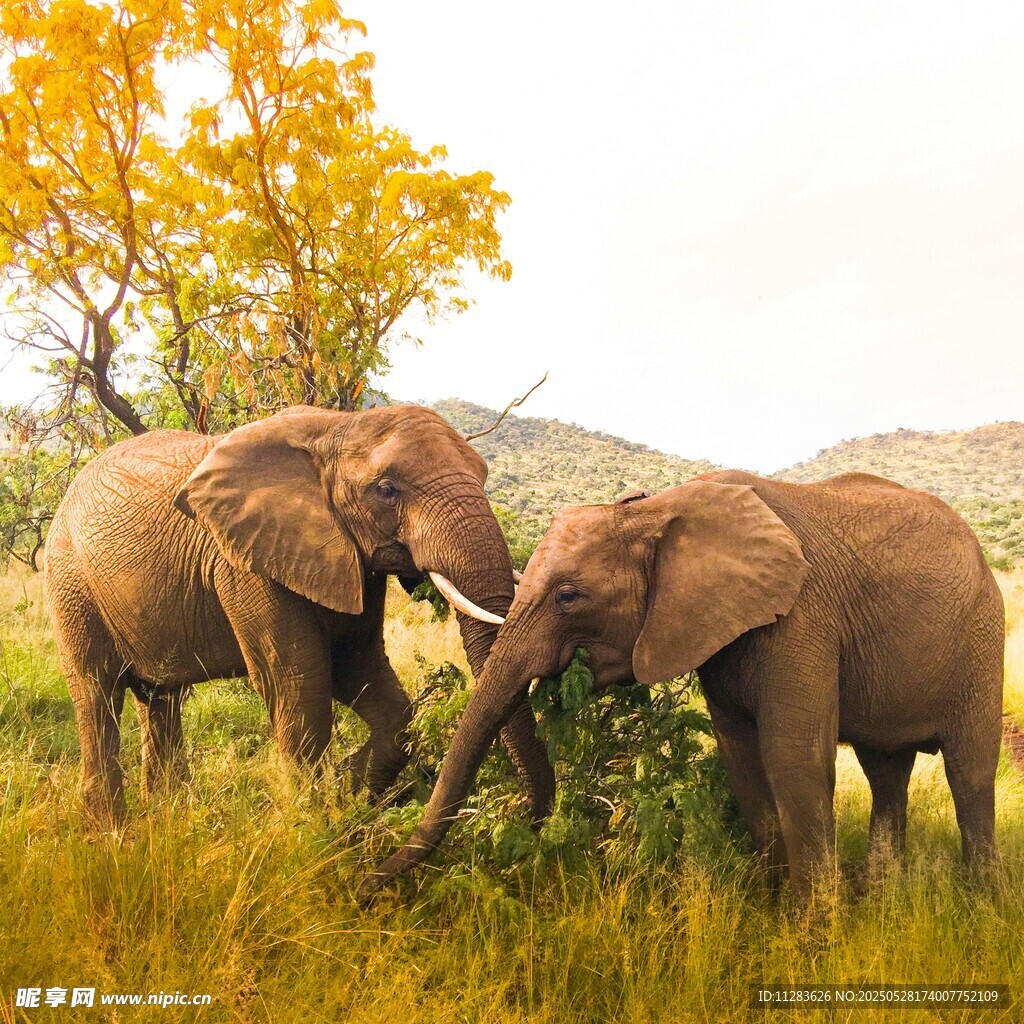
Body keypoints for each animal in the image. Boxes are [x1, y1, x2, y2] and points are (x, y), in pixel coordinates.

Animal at [44, 404, 554, 828]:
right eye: (387, 490)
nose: (529, 818)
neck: (337, 426)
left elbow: (367, 680)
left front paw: (348, 790)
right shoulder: (244, 564)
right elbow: (297, 682)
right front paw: (317, 830)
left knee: (161, 697)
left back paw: (171, 818)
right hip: (70, 581)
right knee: (96, 690)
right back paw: (113, 835)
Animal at [362, 471, 1004, 900]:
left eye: (569, 597)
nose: (364, 886)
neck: (659, 510)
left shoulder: (803, 617)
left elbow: (794, 760)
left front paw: (810, 936)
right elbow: (743, 760)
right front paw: (772, 912)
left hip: (982, 638)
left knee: (970, 772)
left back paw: (981, 907)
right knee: (886, 771)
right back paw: (883, 899)